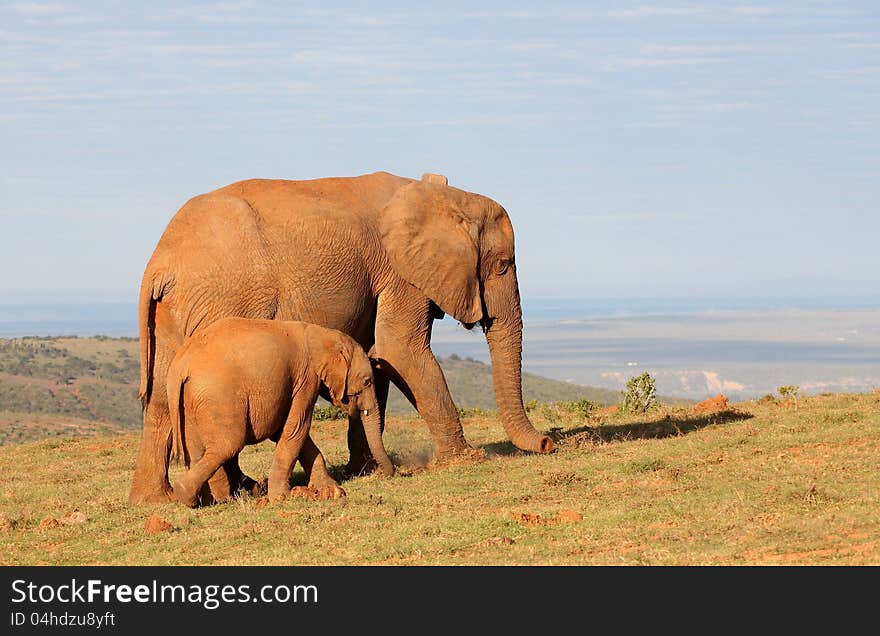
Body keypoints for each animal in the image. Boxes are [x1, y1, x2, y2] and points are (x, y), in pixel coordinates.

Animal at [167, 318, 394, 506]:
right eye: (367, 381)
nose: (387, 474)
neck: (321, 333)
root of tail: (181, 365)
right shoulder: (306, 378)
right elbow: (296, 428)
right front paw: (281, 497)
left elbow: (288, 432)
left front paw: (331, 490)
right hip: (218, 397)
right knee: (227, 445)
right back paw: (190, 495)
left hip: (190, 401)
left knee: (198, 451)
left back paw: (210, 499)